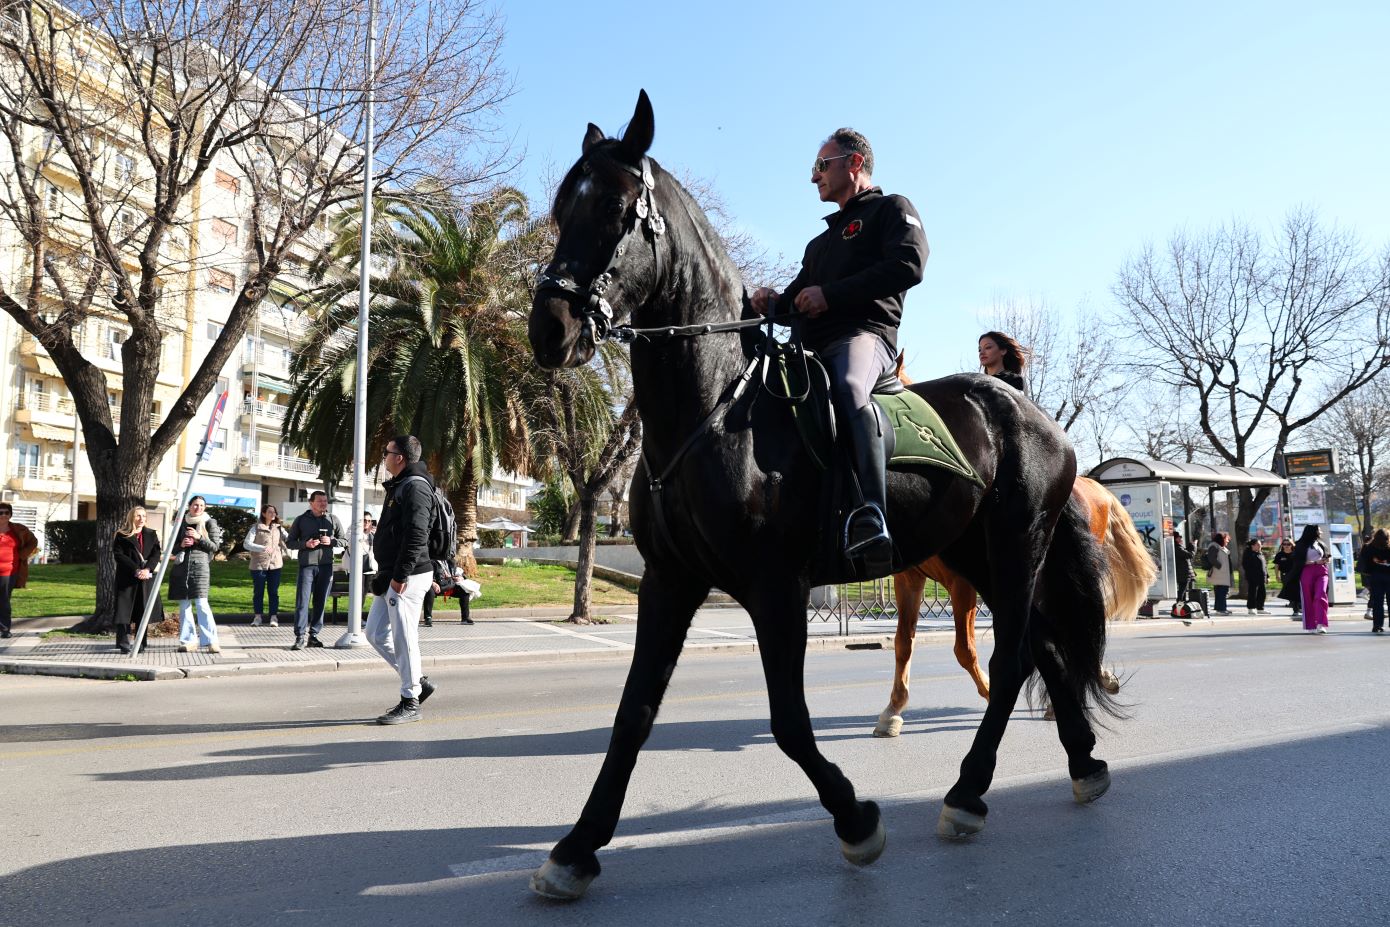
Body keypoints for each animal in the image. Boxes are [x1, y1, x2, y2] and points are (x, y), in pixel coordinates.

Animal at [525, 90, 1112, 900]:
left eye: (615, 208)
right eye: (561, 209)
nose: (549, 329)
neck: (718, 409)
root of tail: (1033, 412)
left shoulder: (776, 587)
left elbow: (789, 720)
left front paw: (856, 819)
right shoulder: (670, 582)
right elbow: (633, 713)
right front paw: (577, 847)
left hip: (1016, 546)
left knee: (1015, 656)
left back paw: (968, 792)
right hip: (976, 555)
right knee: (1046, 649)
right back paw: (1082, 762)